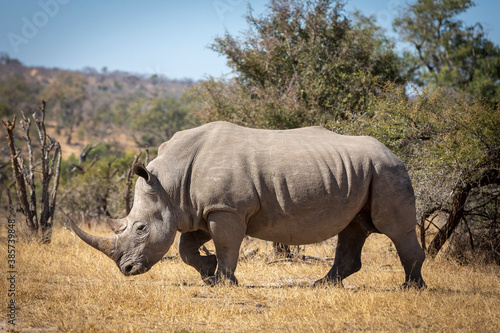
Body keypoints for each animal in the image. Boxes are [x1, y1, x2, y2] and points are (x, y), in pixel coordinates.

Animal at [72, 120, 428, 286]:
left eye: (141, 229)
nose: (127, 270)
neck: (169, 182)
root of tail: (395, 153)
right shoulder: (201, 208)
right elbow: (187, 248)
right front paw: (208, 272)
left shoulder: (226, 208)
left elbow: (227, 245)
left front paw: (222, 282)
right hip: (364, 172)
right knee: (354, 227)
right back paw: (321, 285)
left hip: (386, 170)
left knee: (393, 228)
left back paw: (410, 289)